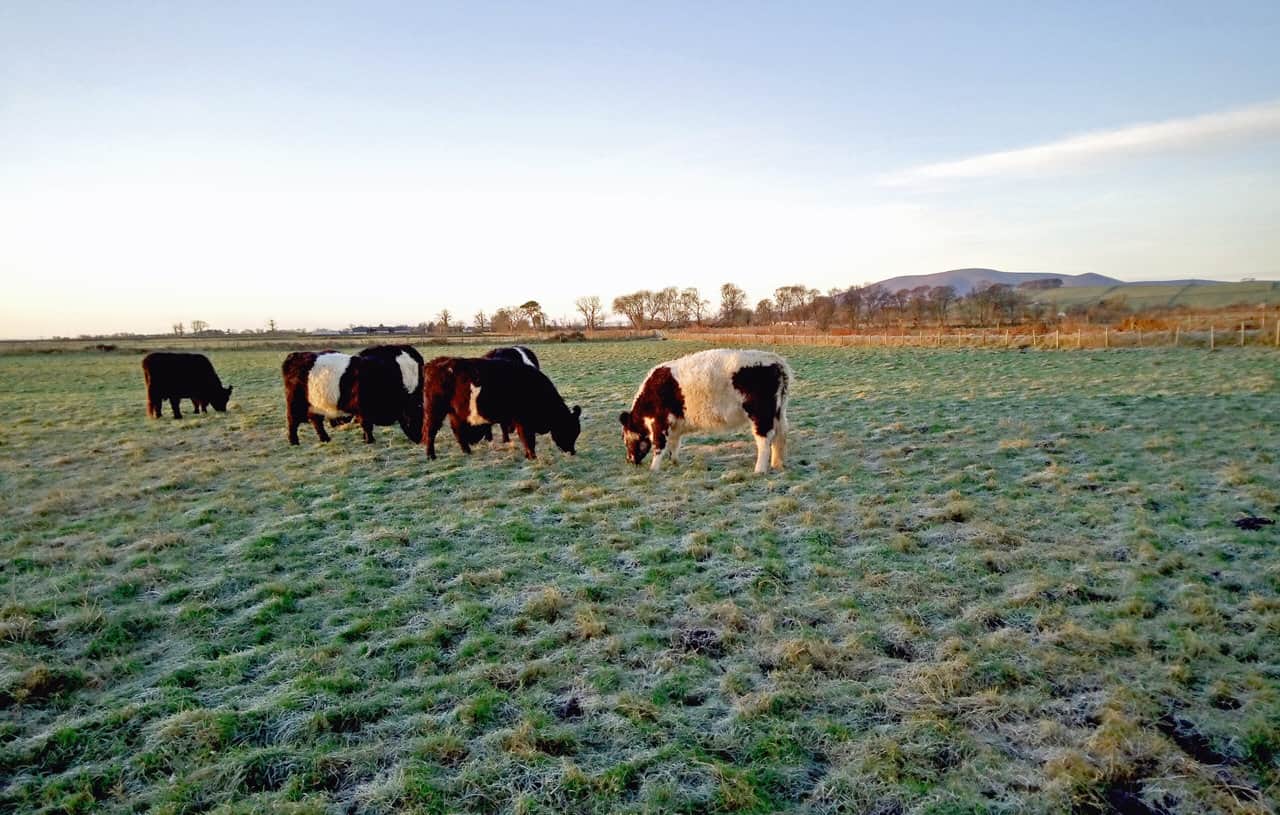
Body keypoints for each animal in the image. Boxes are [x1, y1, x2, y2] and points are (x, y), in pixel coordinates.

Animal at [282, 350, 423, 445]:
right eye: (415, 417)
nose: (420, 440)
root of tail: (294, 355)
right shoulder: (363, 409)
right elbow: (367, 425)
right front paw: (370, 440)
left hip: (315, 405)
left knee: (316, 421)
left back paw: (325, 439)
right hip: (295, 403)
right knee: (292, 421)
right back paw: (294, 442)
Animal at [422, 356, 580, 461]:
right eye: (568, 429)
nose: (573, 452)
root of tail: (435, 363)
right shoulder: (524, 422)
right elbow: (528, 439)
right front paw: (532, 457)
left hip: (454, 412)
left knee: (457, 431)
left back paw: (467, 452)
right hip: (435, 410)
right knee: (431, 432)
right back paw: (431, 456)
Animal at [619, 348, 791, 474]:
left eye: (625, 439)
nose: (628, 460)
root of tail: (776, 361)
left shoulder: (660, 422)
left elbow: (659, 446)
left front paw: (654, 469)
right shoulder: (674, 425)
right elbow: (674, 444)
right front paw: (674, 462)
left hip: (761, 415)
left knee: (764, 440)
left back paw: (759, 470)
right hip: (778, 413)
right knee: (780, 436)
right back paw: (777, 465)